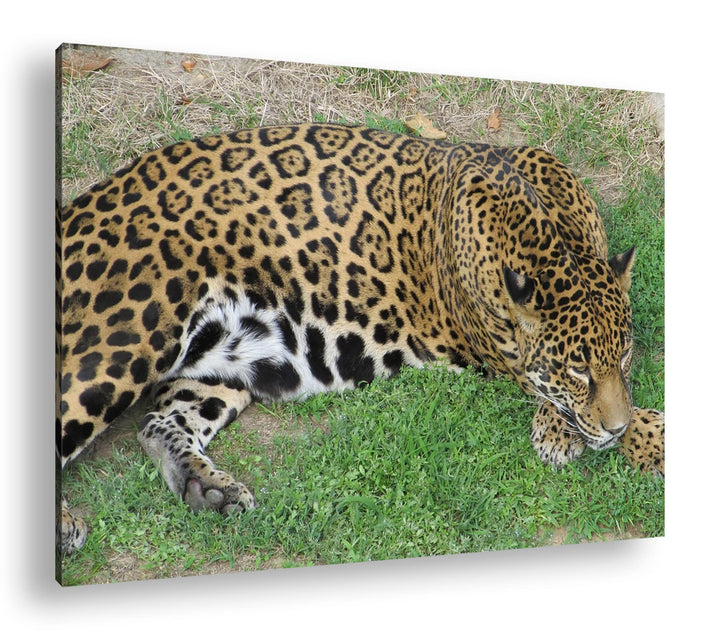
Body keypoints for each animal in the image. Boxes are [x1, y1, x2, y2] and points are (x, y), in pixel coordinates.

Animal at [57, 123, 664, 554]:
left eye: (625, 353)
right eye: (577, 369)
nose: (612, 427)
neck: (548, 234)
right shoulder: (505, 356)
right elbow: (576, 402)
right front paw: (634, 438)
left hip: (224, 363)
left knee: (160, 422)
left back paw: (209, 490)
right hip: (124, 340)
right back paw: (66, 527)